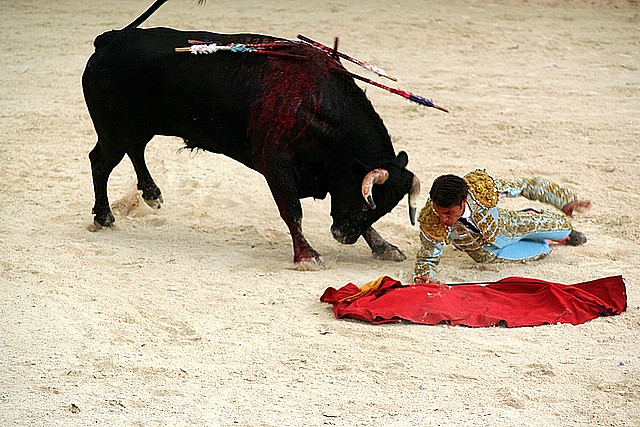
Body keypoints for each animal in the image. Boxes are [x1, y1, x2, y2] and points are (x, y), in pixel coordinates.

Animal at [81, 5, 420, 268]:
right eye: (366, 206)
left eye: (386, 208)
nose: (344, 237)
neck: (316, 104)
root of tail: (110, 39)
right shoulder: (277, 166)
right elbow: (292, 211)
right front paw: (307, 256)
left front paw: (384, 246)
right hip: (114, 131)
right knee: (101, 162)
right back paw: (105, 217)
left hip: (137, 127)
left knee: (135, 150)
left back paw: (152, 194)